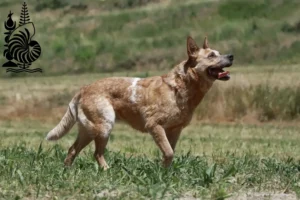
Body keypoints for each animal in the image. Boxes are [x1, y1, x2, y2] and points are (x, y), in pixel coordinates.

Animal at [46, 36, 234, 169]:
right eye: (211, 55)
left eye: (219, 53)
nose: (232, 55)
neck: (181, 86)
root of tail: (84, 88)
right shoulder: (154, 126)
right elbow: (169, 152)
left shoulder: (175, 130)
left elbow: (169, 153)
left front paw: (165, 174)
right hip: (104, 126)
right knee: (97, 153)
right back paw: (107, 170)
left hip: (89, 131)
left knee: (72, 149)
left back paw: (67, 171)